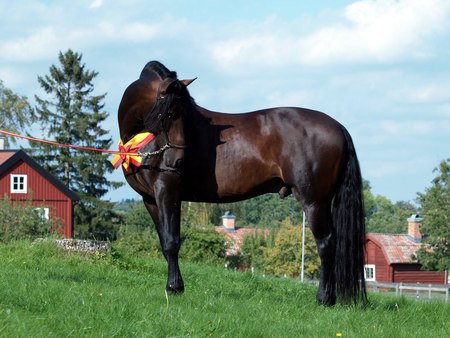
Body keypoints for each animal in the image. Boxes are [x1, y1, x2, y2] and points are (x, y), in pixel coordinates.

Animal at [116, 60, 366, 306]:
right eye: (170, 113)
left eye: (181, 113)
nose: (176, 161)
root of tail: (338, 127)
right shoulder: (150, 199)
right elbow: (163, 241)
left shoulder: (168, 192)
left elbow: (172, 241)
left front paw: (174, 287)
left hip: (315, 201)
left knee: (326, 244)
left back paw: (323, 298)